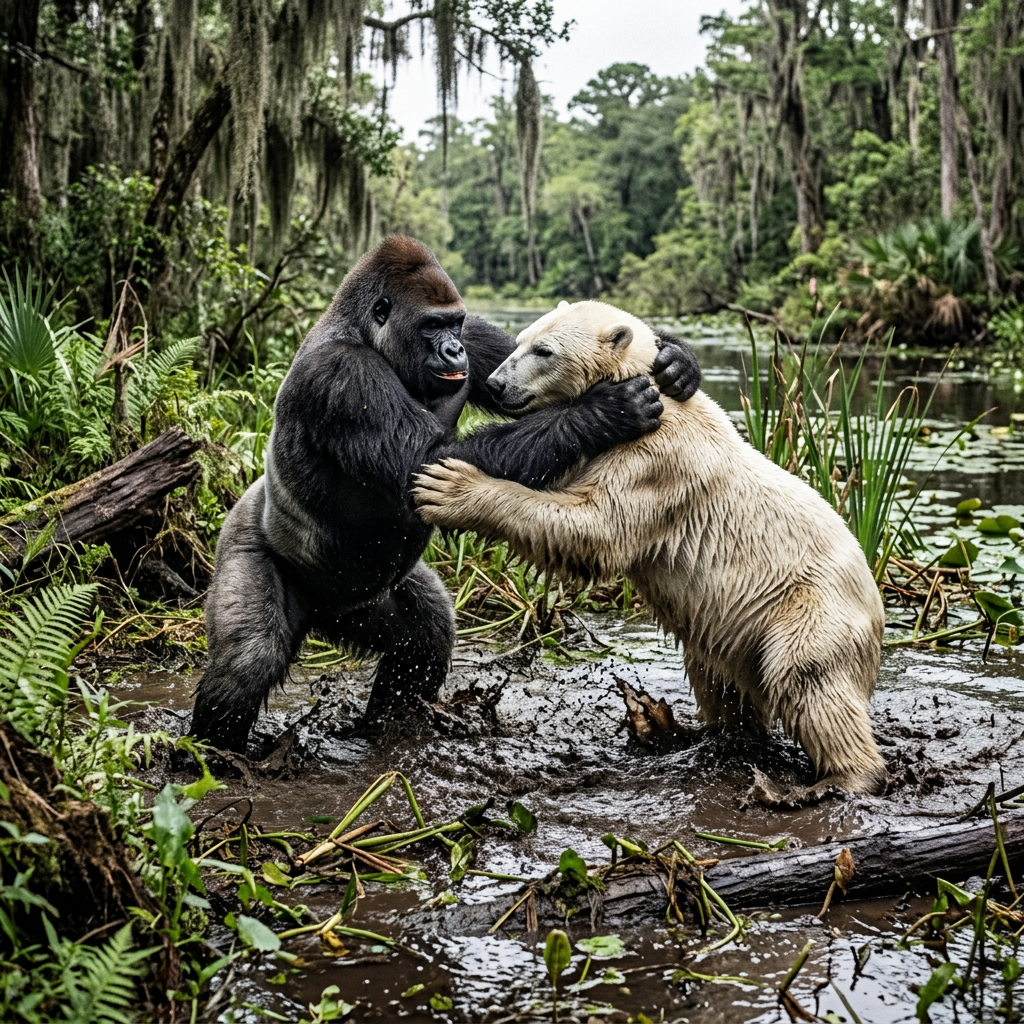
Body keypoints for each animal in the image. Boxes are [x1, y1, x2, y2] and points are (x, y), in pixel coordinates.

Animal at [413, 299, 887, 795]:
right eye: (520, 340)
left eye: (544, 350)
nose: (495, 384)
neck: (653, 391)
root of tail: (876, 609)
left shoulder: (654, 459)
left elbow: (593, 529)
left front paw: (449, 486)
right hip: (740, 633)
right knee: (720, 681)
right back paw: (691, 733)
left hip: (808, 610)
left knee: (809, 682)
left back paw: (842, 777)